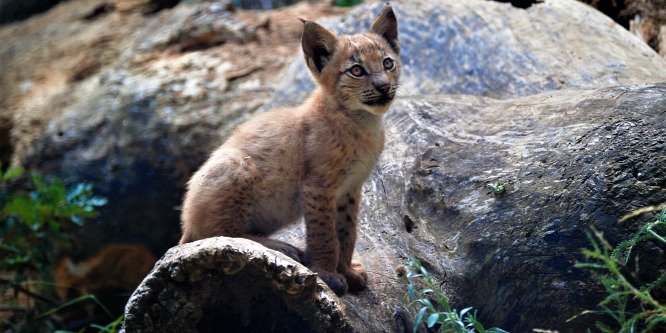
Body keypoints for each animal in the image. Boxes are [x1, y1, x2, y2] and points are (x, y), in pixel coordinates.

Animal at [180, 5, 400, 294]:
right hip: (236, 162)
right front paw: (327, 273)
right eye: (356, 70)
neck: (362, 121)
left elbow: (347, 232)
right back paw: (278, 246)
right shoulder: (318, 186)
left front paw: (347, 271)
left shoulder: (350, 187)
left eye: (388, 63)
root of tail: (186, 221)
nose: (384, 86)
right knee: (214, 237)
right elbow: (325, 234)